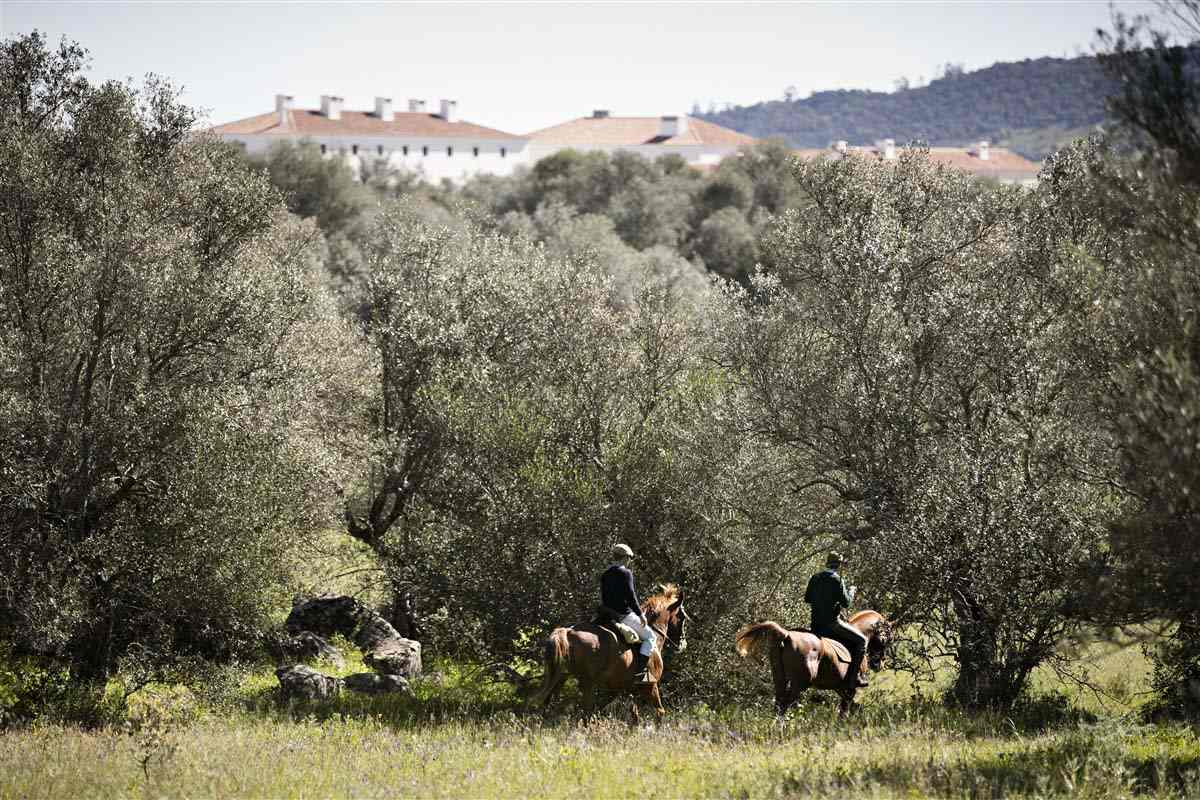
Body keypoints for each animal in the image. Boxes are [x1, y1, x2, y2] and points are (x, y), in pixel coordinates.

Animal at [530, 582, 691, 724]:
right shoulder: (651, 685)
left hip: (560, 677)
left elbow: (633, 715)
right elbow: (659, 712)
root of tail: (567, 632)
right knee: (585, 713)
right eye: (682, 617)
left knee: (549, 704)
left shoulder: (622, 689)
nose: (682, 645)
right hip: (587, 683)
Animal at [729, 609, 892, 714]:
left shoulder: (839, 686)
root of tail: (786, 634)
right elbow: (846, 707)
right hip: (800, 683)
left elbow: (848, 705)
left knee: (779, 704)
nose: (880, 663)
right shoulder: (850, 687)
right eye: (889, 636)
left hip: (780, 679)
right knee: (785, 705)